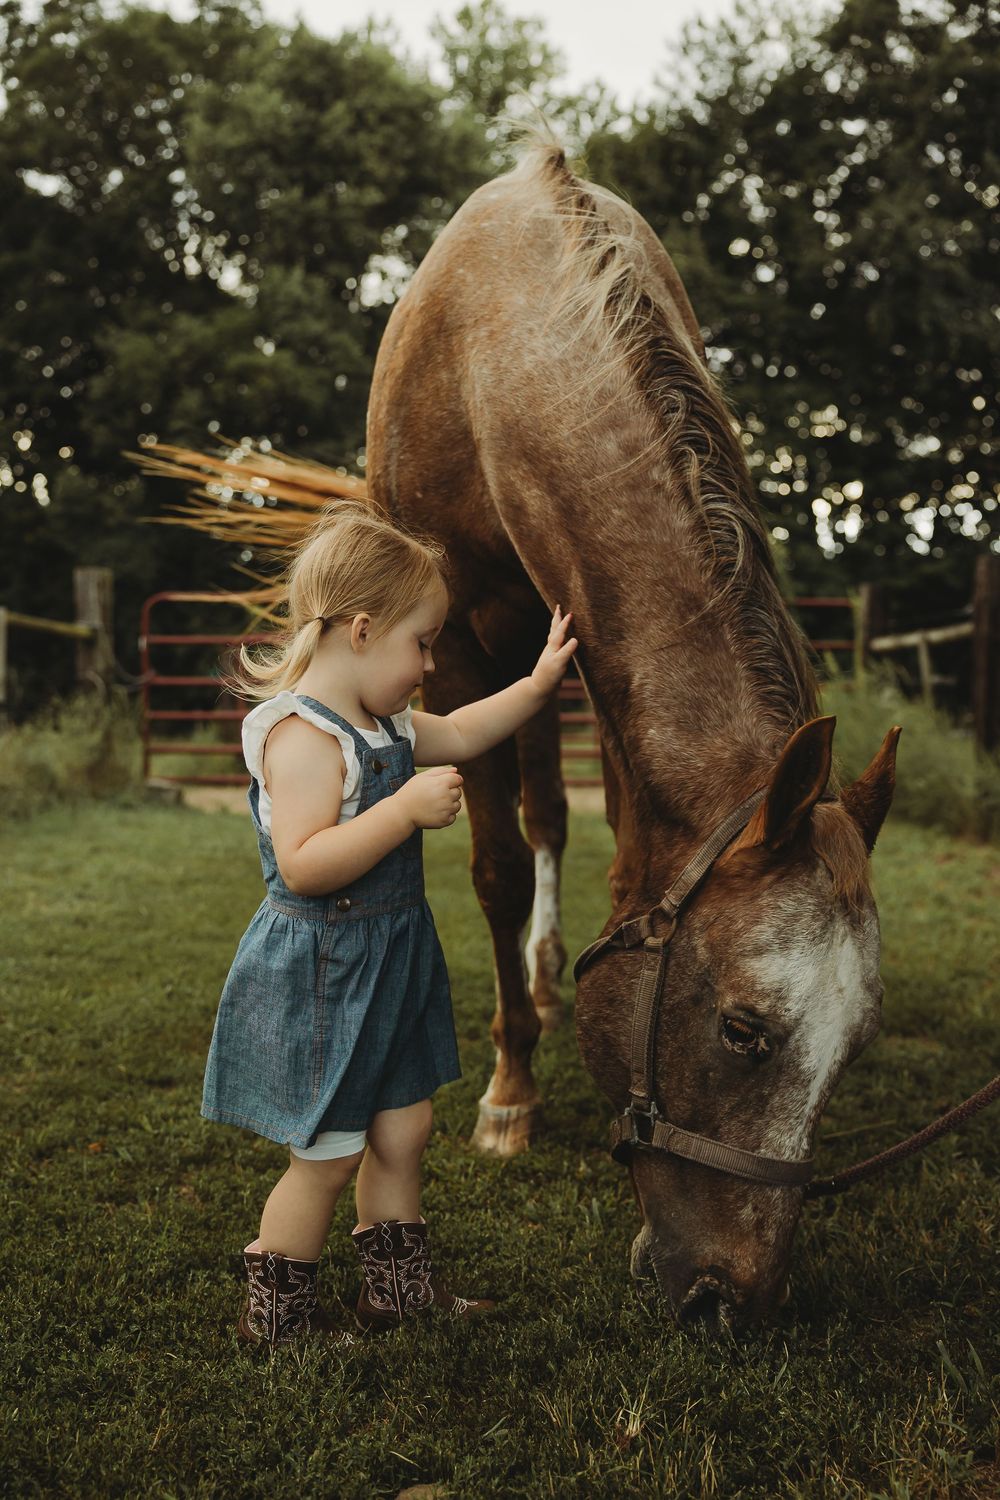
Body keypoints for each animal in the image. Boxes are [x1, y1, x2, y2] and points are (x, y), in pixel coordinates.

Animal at [364, 139, 900, 1328]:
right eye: (745, 1030)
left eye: (854, 1049)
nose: (729, 1302)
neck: (505, 346)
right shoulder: (461, 651)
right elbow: (494, 869)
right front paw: (509, 1095)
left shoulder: (600, 667)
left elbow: (609, 851)